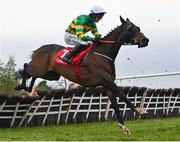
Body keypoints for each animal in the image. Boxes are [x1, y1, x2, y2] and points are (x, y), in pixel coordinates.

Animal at [15, 16, 148, 134]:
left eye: (138, 27)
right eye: (130, 28)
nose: (145, 40)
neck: (102, 54)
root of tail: (39, 49)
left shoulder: (107, 85)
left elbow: (115, 105)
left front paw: (124, 128)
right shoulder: (107, 80)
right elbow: (122, 94)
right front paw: (140, 111)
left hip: (51, 75)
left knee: (32, 73)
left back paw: (29, 89)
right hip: (41, 70)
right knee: (26, 68)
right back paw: (23, 87)